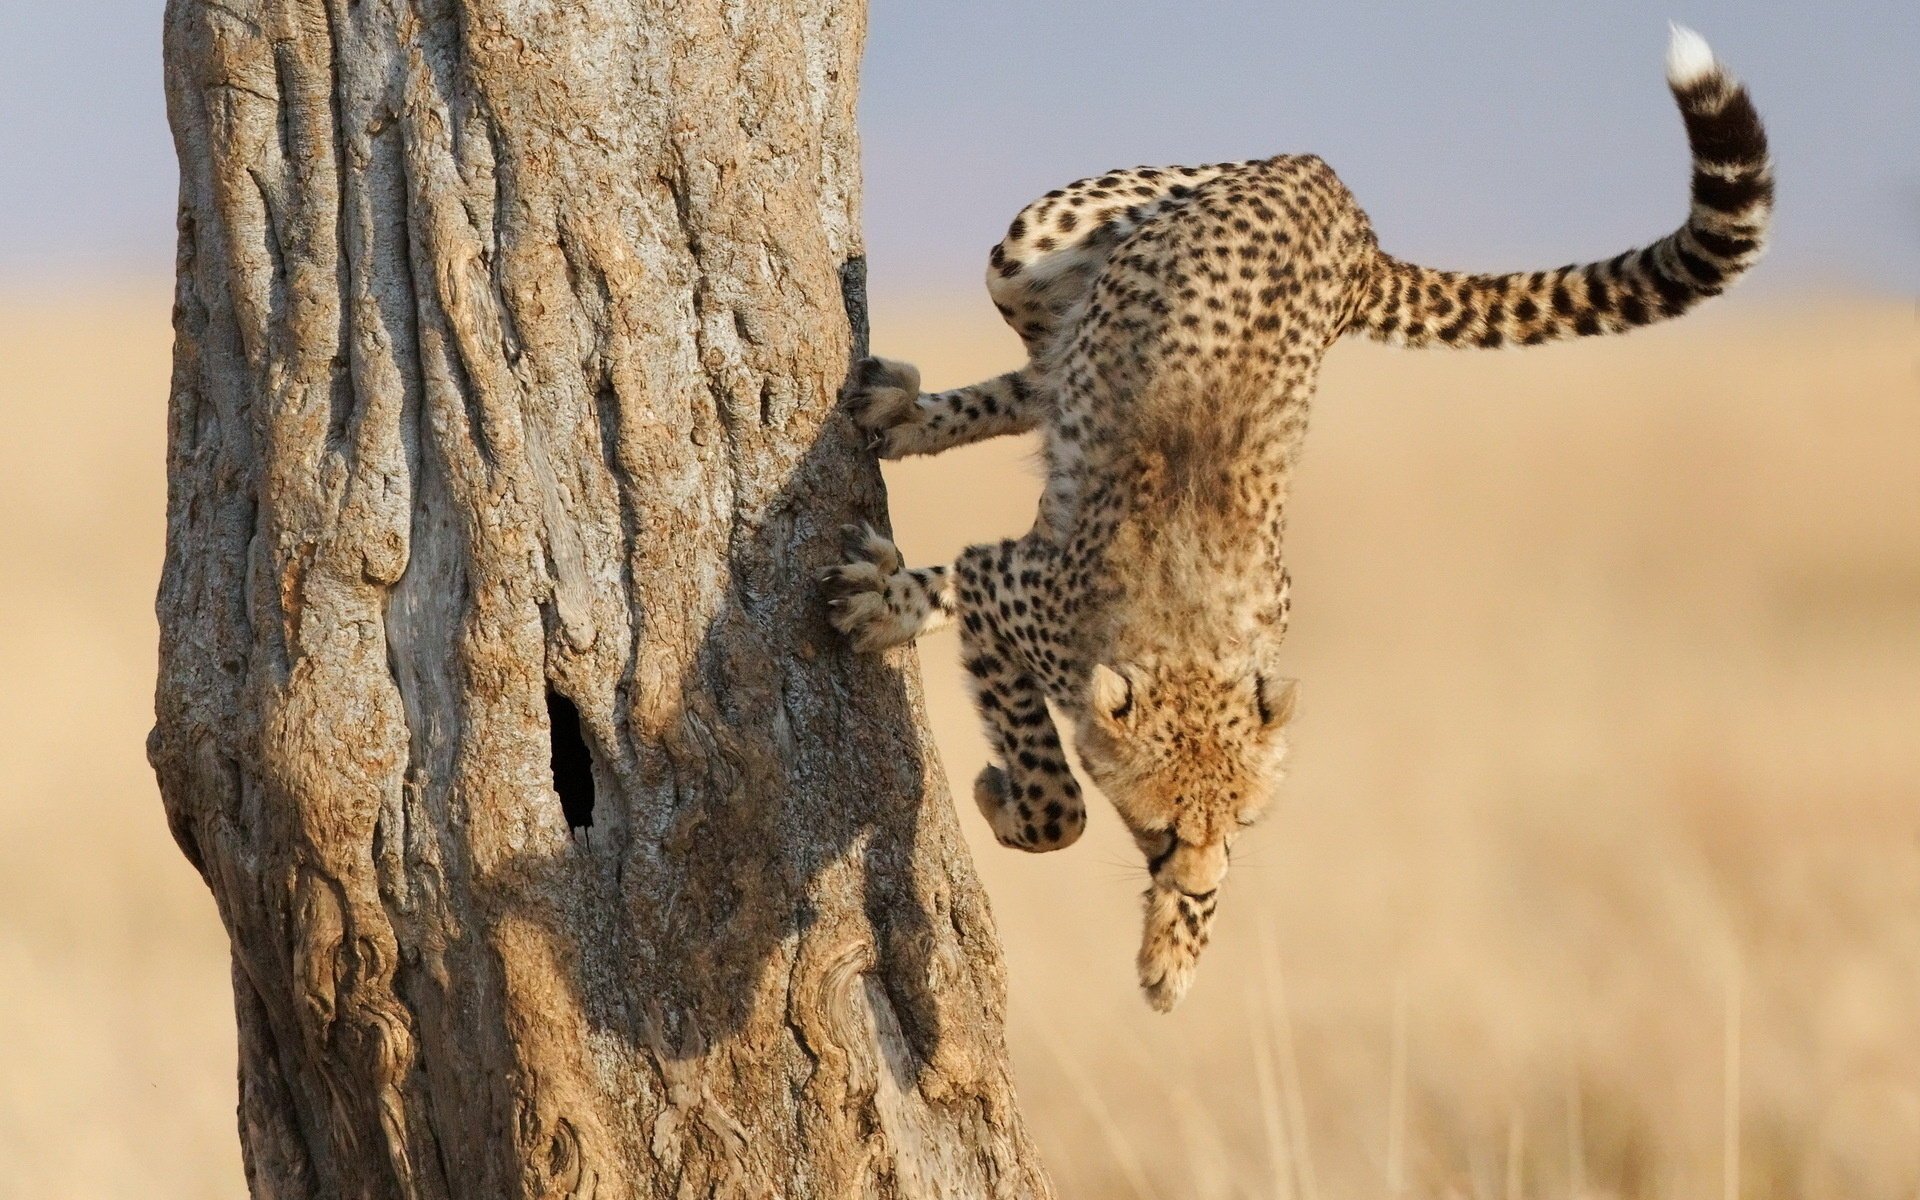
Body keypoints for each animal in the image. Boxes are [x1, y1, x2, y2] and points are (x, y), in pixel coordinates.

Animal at [823, 26, 1772, 1012]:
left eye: (1238, 823)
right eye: (1161, 828)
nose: (1200, 881)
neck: (1189, 636)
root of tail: (1341, 200)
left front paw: (1175, 951)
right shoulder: (1010, 589)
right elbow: (1056, 797)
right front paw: (1002, 786)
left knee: (1047, 374)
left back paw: (903, 434)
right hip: (1037, 237)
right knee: (1043, 361)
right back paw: (904, 430)